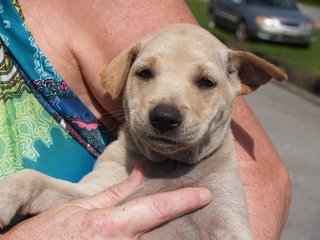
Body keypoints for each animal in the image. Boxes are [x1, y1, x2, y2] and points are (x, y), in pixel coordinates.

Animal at [0, 23, 286, 238]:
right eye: (144, 73)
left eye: (206, 82)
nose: (164, 118)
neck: (168, 166)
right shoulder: (90, 196)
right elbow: (34, 178)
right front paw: (5, 195)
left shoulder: (228, 220)